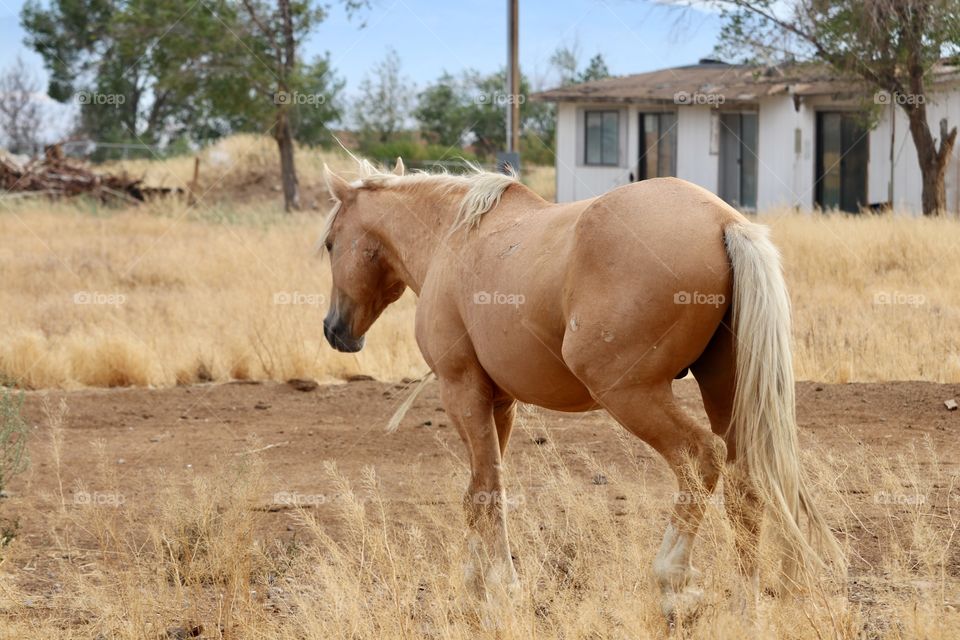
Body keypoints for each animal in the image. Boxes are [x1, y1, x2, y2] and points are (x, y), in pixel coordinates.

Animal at [316, 160, 840, 620]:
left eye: (330, 243)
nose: (334, 330)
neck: (452, 237)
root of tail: (725, 222)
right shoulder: (499, 403)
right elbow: (481, 490)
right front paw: (476, 583)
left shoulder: (461, 389)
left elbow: (485, 491)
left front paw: (498, 586)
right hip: (723, 391)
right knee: (744, 480)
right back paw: (745, 603)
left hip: (630, 394)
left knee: (700, 458)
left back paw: (673, 582)